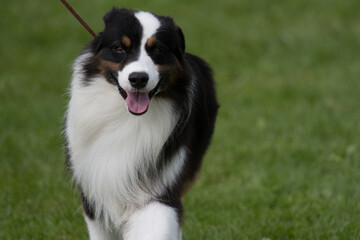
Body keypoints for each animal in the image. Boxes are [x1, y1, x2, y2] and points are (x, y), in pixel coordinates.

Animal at [64, 7, 219, 240]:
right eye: (119, 48)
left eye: (158, 50)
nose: (138, 78)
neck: (127, 118)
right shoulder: (94, 193)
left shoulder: (160, 189)